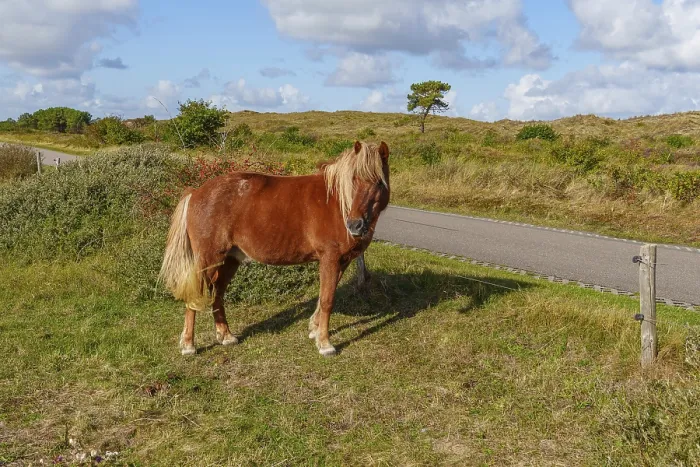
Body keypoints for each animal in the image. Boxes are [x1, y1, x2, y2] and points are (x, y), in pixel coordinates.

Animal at [159, 141, 390, 356]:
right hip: (208, 259)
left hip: (230, 260)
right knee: (196, 295)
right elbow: (327, 300)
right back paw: (189, 345)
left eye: (379, 182)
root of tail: (196, 192)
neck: (338, 202)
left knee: (218, 293)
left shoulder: (341, 261)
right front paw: (325, 344)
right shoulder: (330, 259)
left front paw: (314, 330)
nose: (355, 226)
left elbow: (324, 296)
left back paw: (226, 336)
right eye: (353, 179)